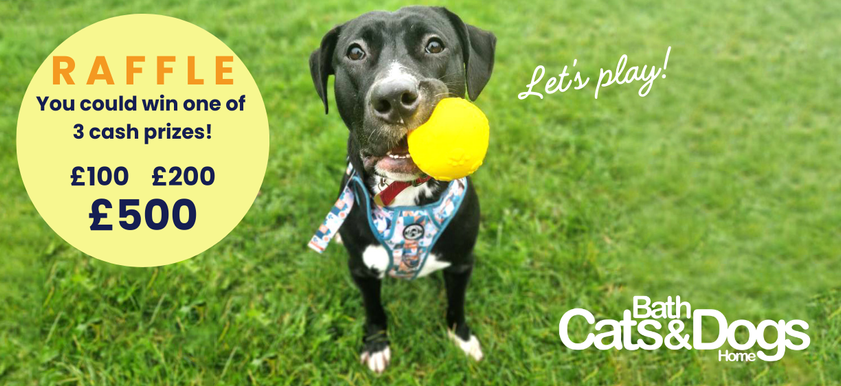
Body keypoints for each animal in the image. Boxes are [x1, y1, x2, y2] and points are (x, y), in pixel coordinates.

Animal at [306, 6, 492, 372]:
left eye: (434, 45)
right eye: (355, 52)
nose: (394, 97)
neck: (404, 196)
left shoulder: (462, 263)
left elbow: (457, 304)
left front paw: (462, 338)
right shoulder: (362, 270)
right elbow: (374, 310)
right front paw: (376, 344)